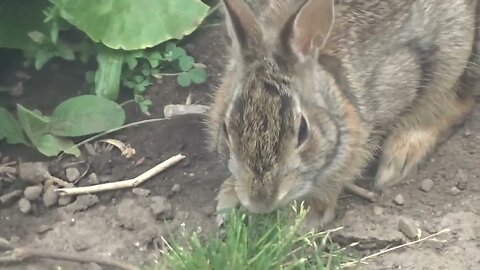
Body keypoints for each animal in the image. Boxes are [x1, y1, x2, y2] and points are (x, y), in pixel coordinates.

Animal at [204, 0, 478, 229]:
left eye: (303, 131)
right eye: (226, 129)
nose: (261, 202)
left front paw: (309, 213)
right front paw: (229, 199)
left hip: (451, 52)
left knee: (455, 104)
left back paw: (399, 158)